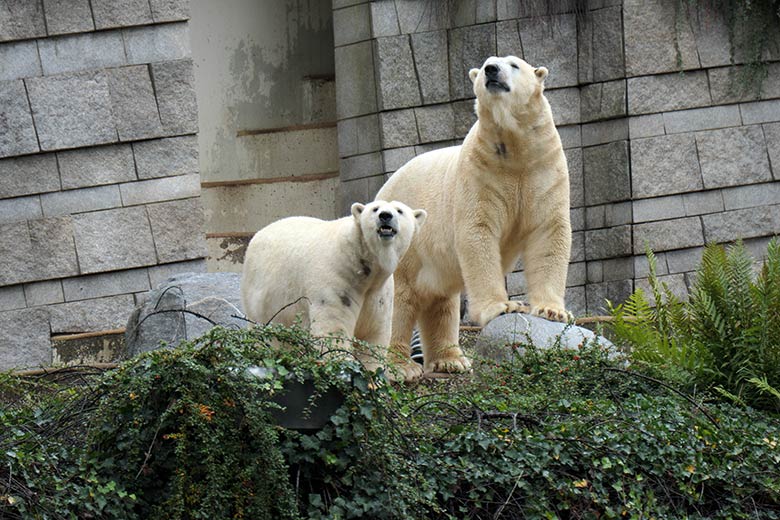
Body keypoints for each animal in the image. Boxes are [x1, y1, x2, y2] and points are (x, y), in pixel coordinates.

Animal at [242, 199, 426, 370]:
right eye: (375, 209)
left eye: (399, 210)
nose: (385, 216)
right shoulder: (337, 278)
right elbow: (334, 328)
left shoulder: (379, 293)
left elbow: (373, 333)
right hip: (260, 291)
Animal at [378, 57, 572, 380]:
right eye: (483, 66)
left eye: (514, 64)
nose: (492, 70)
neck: (514, 149)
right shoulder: (480, 173)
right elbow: (478, 232)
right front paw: (505, 307)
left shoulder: (544, 168)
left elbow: (548, 231)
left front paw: (552, 310)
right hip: (404, 241)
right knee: (399, 298)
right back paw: (399, 366)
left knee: (441, 301)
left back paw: (451, 360)